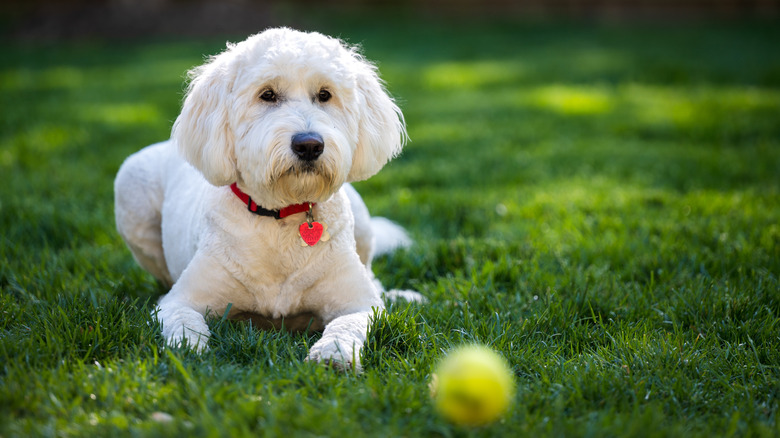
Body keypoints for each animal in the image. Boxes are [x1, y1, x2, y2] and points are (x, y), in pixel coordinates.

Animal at [113, 28, 418, 370]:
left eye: (325, 95)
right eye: (267, 95)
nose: (309, 145)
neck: (281, 217)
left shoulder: (359, 303)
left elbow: (348, 323)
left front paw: (333, 352)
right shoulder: (179, 300)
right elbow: (183, 321)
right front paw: (188, 349)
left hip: (362, 225)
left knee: (374, 277)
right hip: (130, 189)